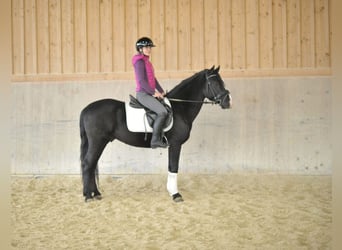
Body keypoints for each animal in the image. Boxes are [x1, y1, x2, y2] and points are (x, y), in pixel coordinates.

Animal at [79, 66, 231, 201]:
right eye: (215, 83)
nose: (227, 102)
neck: (180, 108)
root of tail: (86, 109)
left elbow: (171, 167)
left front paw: (172, 192)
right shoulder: (175, 144)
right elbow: (173, 167)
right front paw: (175, 194)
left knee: (91, 165)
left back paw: (95, 193)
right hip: (98, 141)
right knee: (88, 164)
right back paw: (88, 196)